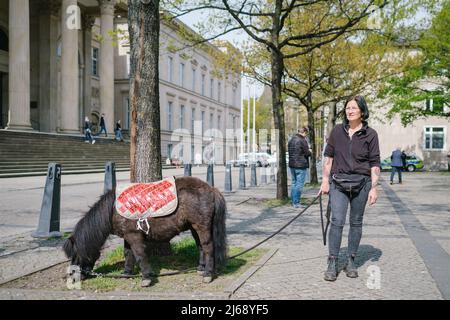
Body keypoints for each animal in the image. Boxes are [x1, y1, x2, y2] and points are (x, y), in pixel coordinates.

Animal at [64, 176, 225, 286]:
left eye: (75, 255)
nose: (73, 276)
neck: (112, 209)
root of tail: (212, 189)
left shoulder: (134, 236)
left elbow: (140, 255)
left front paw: (146, 277)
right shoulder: (127, 236)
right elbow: (128, 254)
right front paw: (127, 273)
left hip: (201, 227)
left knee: (208, 247)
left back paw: (208, 274)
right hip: (193, 227)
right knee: (201, 247)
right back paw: (201, 269)